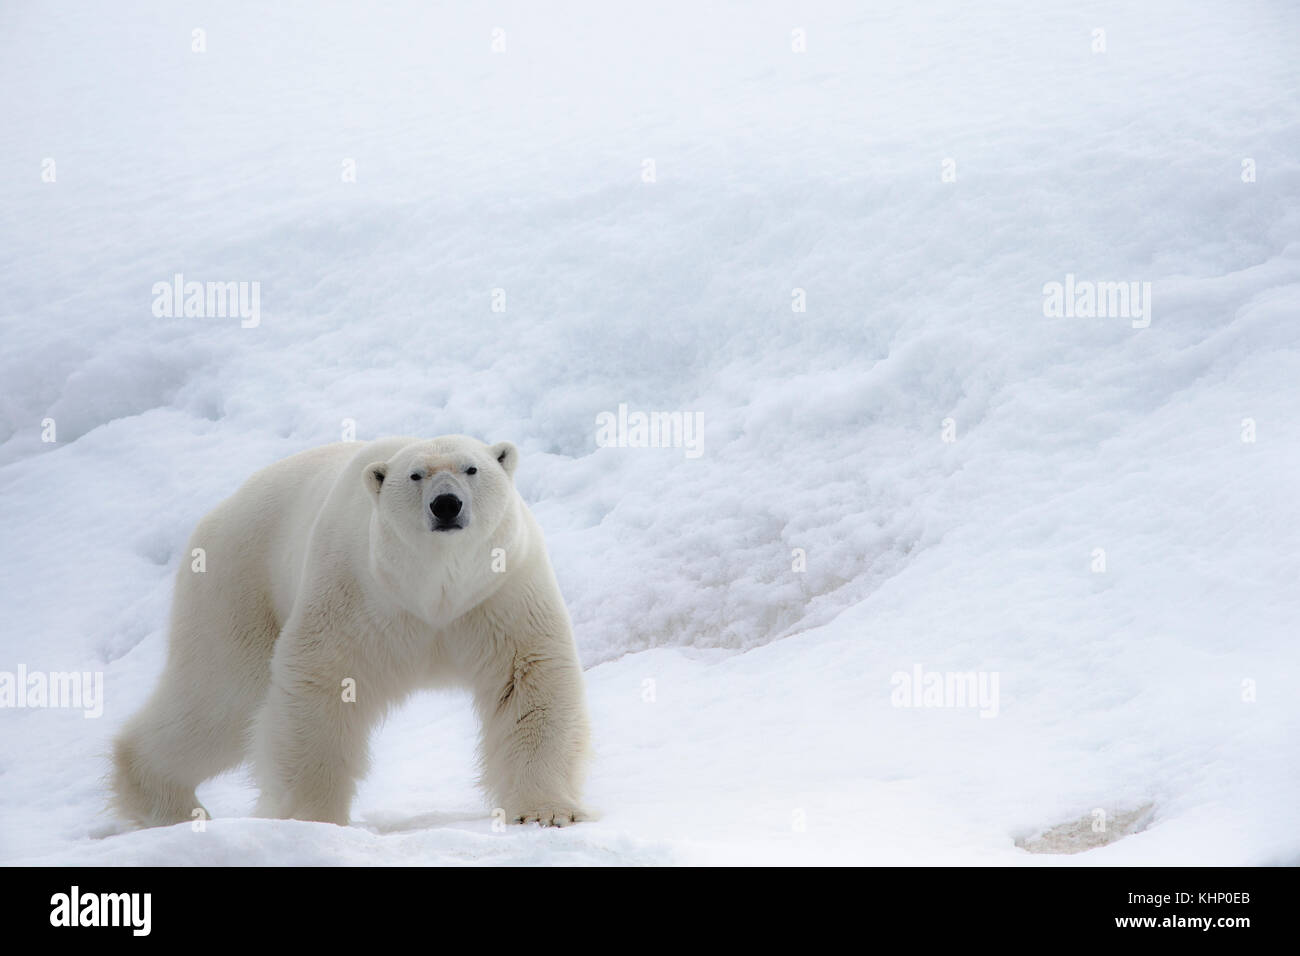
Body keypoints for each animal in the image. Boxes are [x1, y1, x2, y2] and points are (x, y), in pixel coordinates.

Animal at [111, 435, 590, 828]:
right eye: (415, 474)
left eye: (471, 468)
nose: (446, 504)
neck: (435, 589)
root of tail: (220, 510)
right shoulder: (357, 591)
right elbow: (322, 681)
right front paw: (313, 817)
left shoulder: (500, 592)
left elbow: (528, 679)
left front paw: (548, 811)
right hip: (239, 585)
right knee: (219, 700)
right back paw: (164, 803)